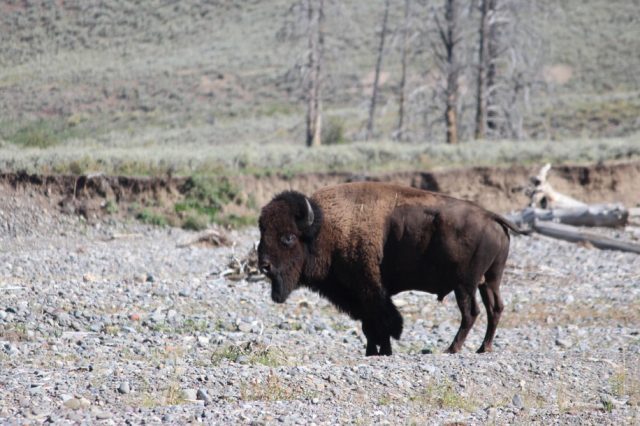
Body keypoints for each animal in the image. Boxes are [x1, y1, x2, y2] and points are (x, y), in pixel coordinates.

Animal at [258, 181, 524, 354]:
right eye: (262, 231)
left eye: (288, 237)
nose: (264, 265)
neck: (325, 229)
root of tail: (490, 216)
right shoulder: (361, 297)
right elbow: (369, 325)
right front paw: (373, 351)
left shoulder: (370, 291)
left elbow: (381, 322)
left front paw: (382, 350)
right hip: (489, 280)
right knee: (495, 308)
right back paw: (483, 348)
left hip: (465, 285)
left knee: (471, 313)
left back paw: (452, 349)